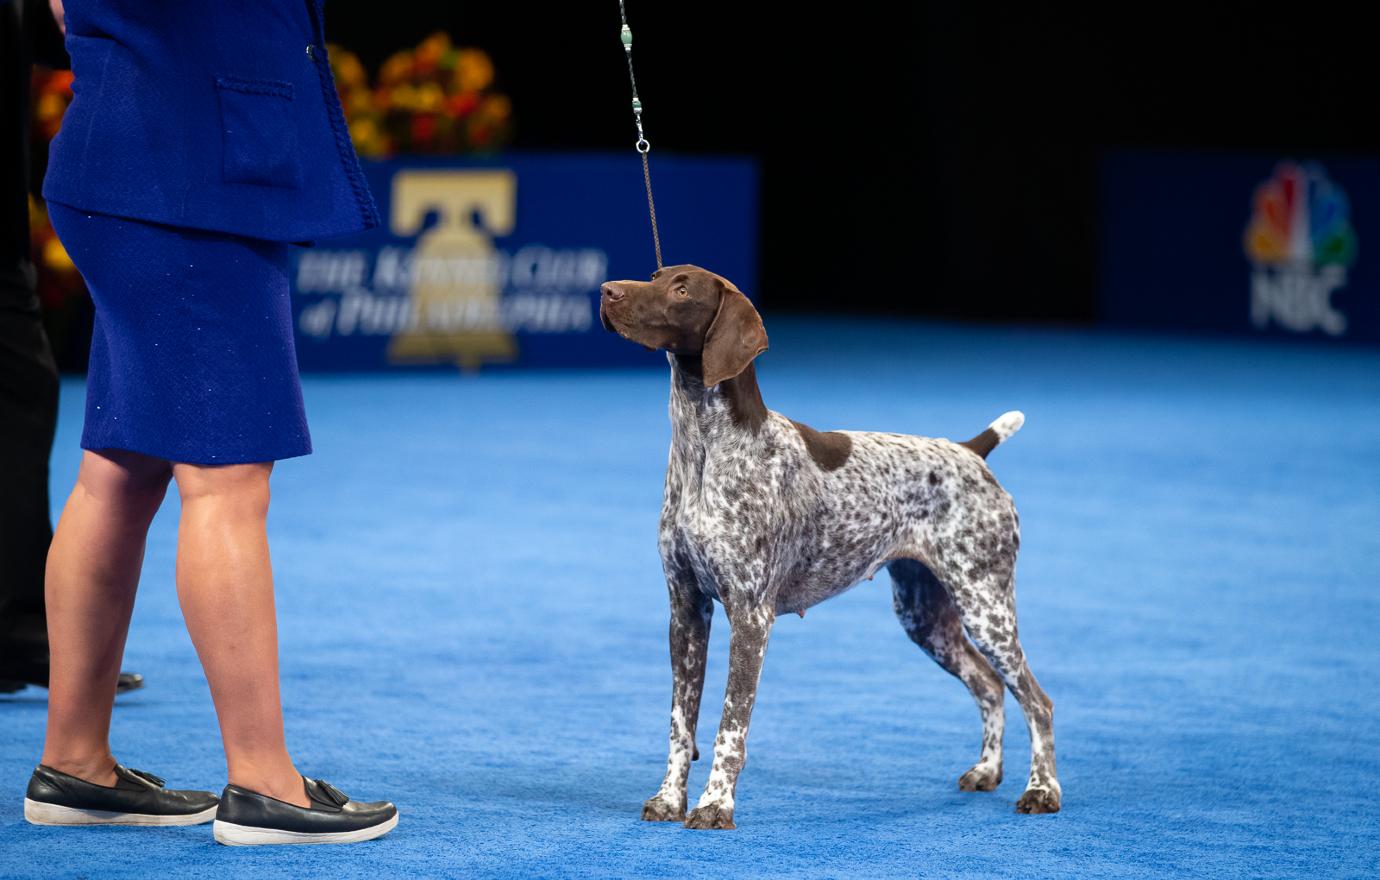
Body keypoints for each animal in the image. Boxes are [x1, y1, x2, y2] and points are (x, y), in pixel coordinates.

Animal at [598, 264, 1059, 833]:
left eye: (682, 290)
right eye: (656, 275)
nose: (607, 292)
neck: (703, 446)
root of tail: (970, 451)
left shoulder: (750, 616)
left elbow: (730, 726)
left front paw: (715, 805)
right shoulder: (686, 609)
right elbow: (681, 725)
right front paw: (669, 799)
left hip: (985, 605)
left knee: (1037, 701)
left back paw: (1041, 790)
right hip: (926, 617)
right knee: (990, 685)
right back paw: (987, 771)